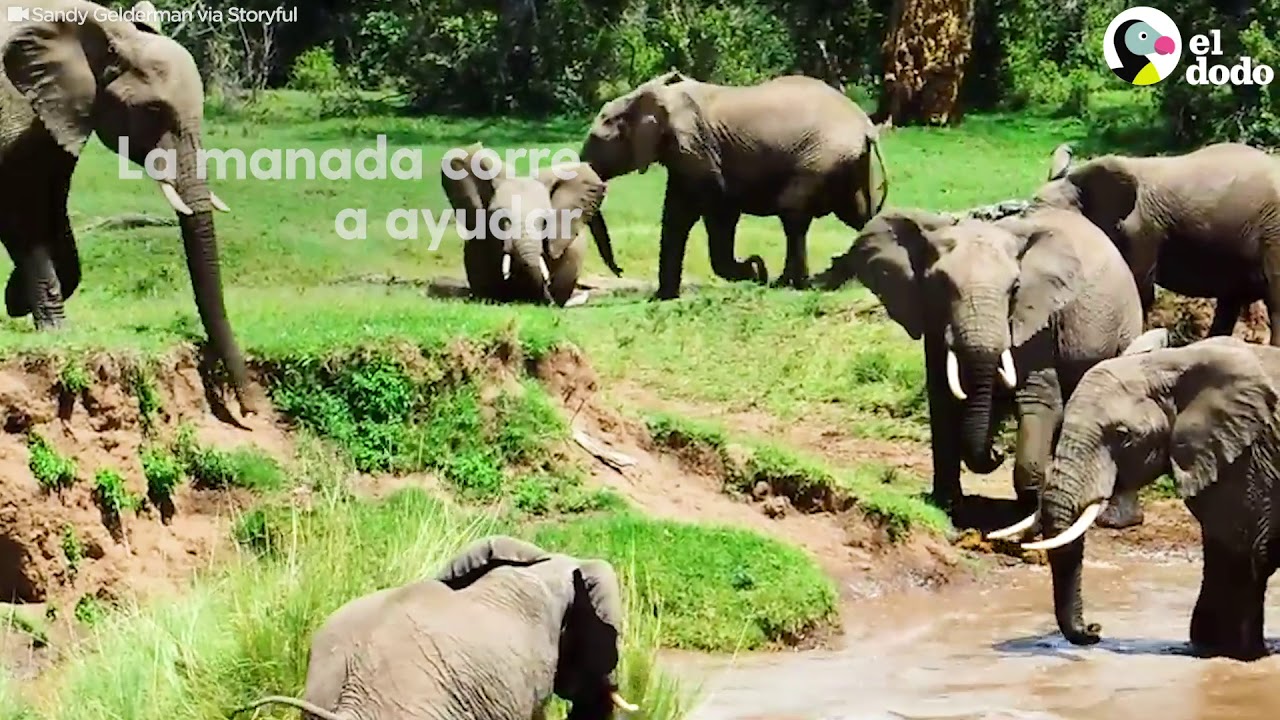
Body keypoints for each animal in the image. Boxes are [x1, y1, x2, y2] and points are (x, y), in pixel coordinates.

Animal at [0, 0, 253, 413]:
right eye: (152, 112)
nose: (250, 407)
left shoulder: (61, 113)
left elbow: (52, 205)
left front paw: (16, 299)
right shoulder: (13, 110)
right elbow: (19, 206)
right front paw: (54, 329)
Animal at [579, 69, 888, 299]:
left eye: (596, 139)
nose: (619, 271)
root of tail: (866, 128)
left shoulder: (698, 148)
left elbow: (719, 209)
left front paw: (755, 272)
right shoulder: (684, 155)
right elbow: (677, 216)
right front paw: (663, 298)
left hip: (821, 159)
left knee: (794, 215)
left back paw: (790, 283)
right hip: (851, 165)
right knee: (861, 216)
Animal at [812, 206, 1146, 525]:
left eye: (1015, 288)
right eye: (940, 285)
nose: (996, 451)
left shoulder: (1036, 323)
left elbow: (1038, 401)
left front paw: (1028, 516)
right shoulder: (933, 322)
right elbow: (943, 399)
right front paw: (947, 508)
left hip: (1128, 321)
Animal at [990, 336, 1280, 661]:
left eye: (1122, 435)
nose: (1095, 629)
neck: (1170, 363)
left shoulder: (1250, 457)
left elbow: (1246, 549)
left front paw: (1241, 655)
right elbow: (1223, 547)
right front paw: (1212, 649)